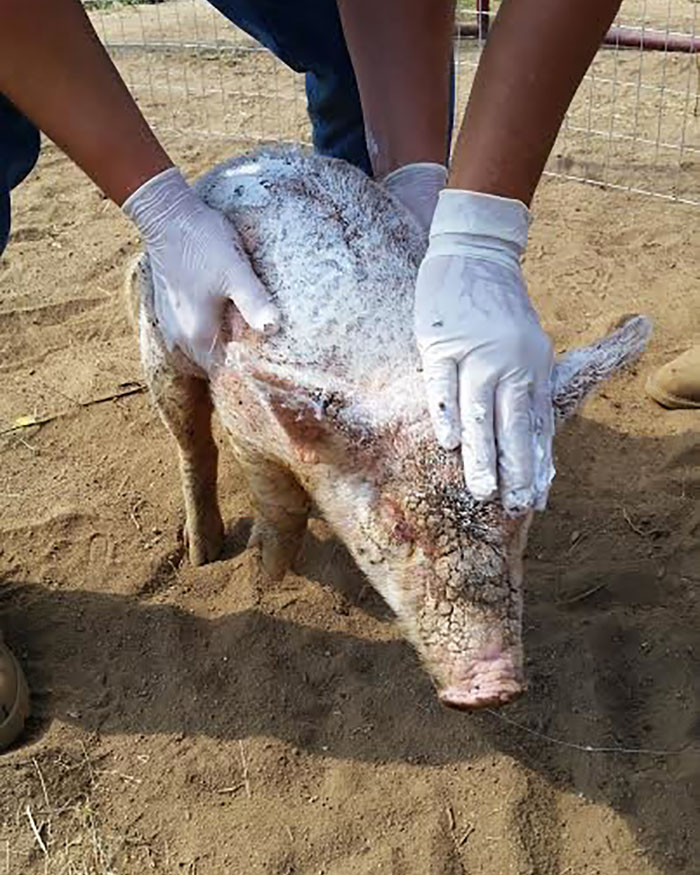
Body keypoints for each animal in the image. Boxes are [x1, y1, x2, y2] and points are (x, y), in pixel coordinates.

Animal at [126, 147, 651, 710]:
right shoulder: (245, 415)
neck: (401, 372)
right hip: (160, 335)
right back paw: (203, 552)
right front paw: (263, 576)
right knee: (192, 442)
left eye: (521, 516)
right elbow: (280, 506)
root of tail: (244, 157)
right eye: (399, 522)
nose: (493, 687)